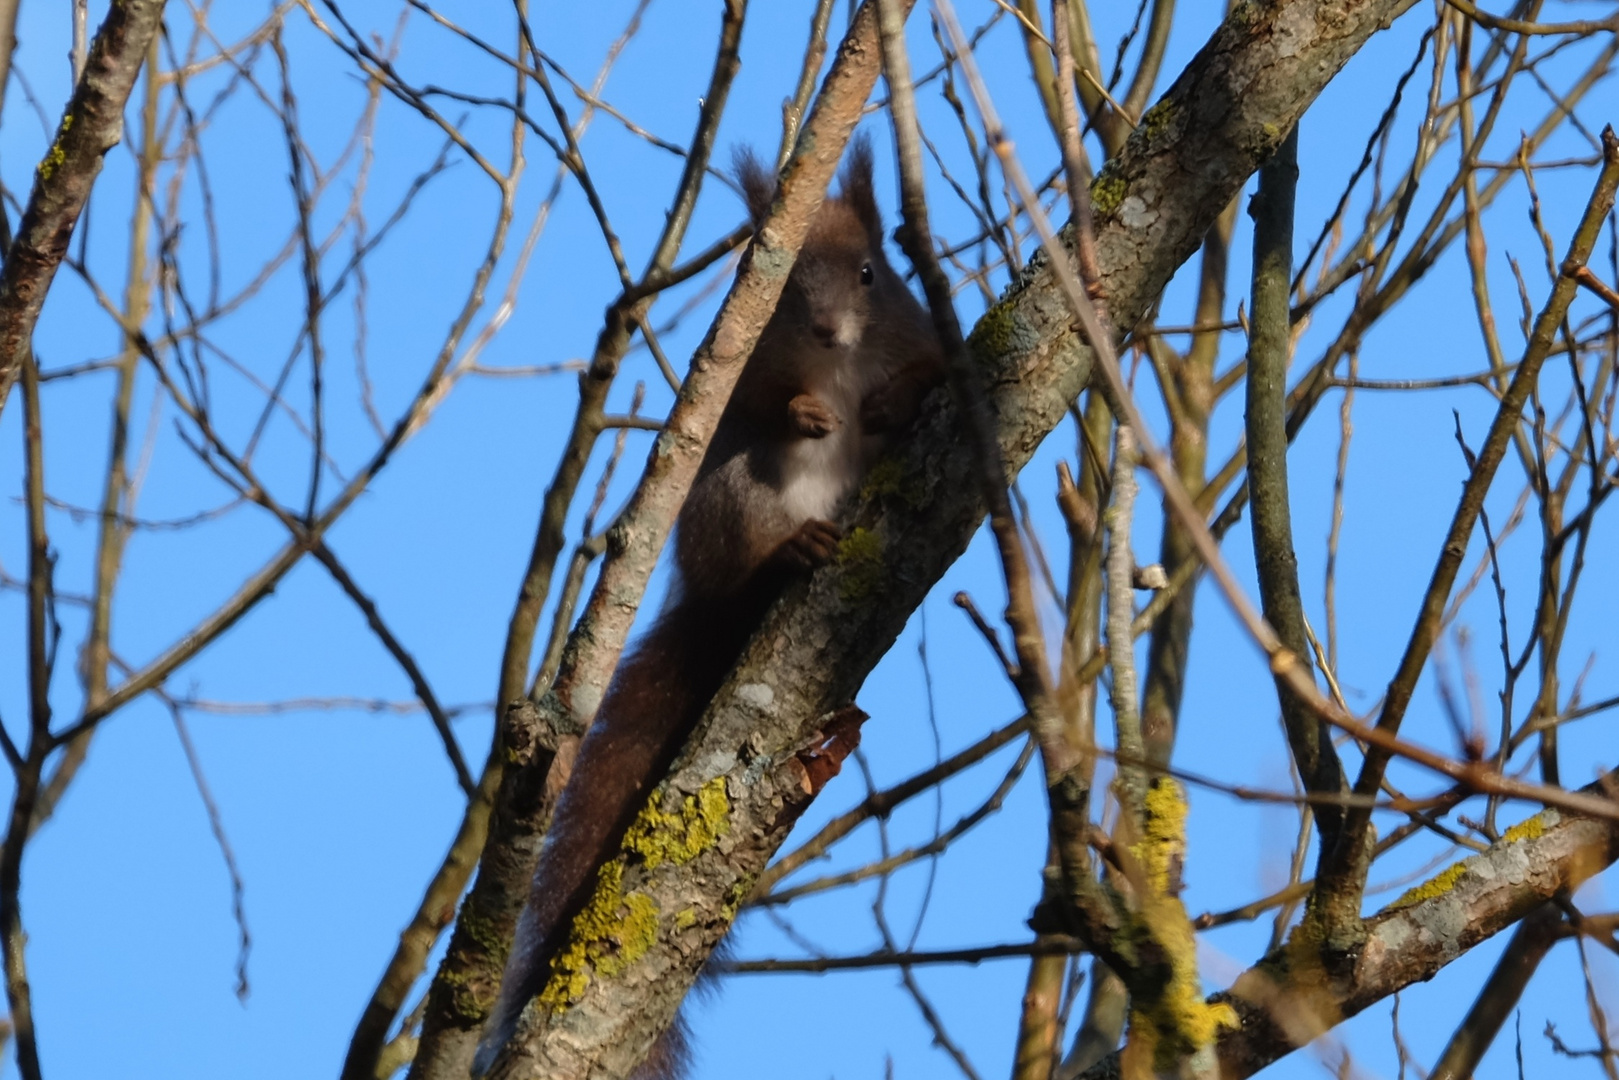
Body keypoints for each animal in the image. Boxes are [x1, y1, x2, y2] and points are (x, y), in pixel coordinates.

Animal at [472, 139, 945, 1075]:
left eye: (871, 273)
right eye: (787, 282)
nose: (828, 332)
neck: (839, 366)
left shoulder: (930, 339)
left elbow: (935, 373)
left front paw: (888, 400)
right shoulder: (744, 373)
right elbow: (754, 402)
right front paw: (807, 410)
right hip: (733, 497)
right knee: (745, 559)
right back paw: (783, 560)